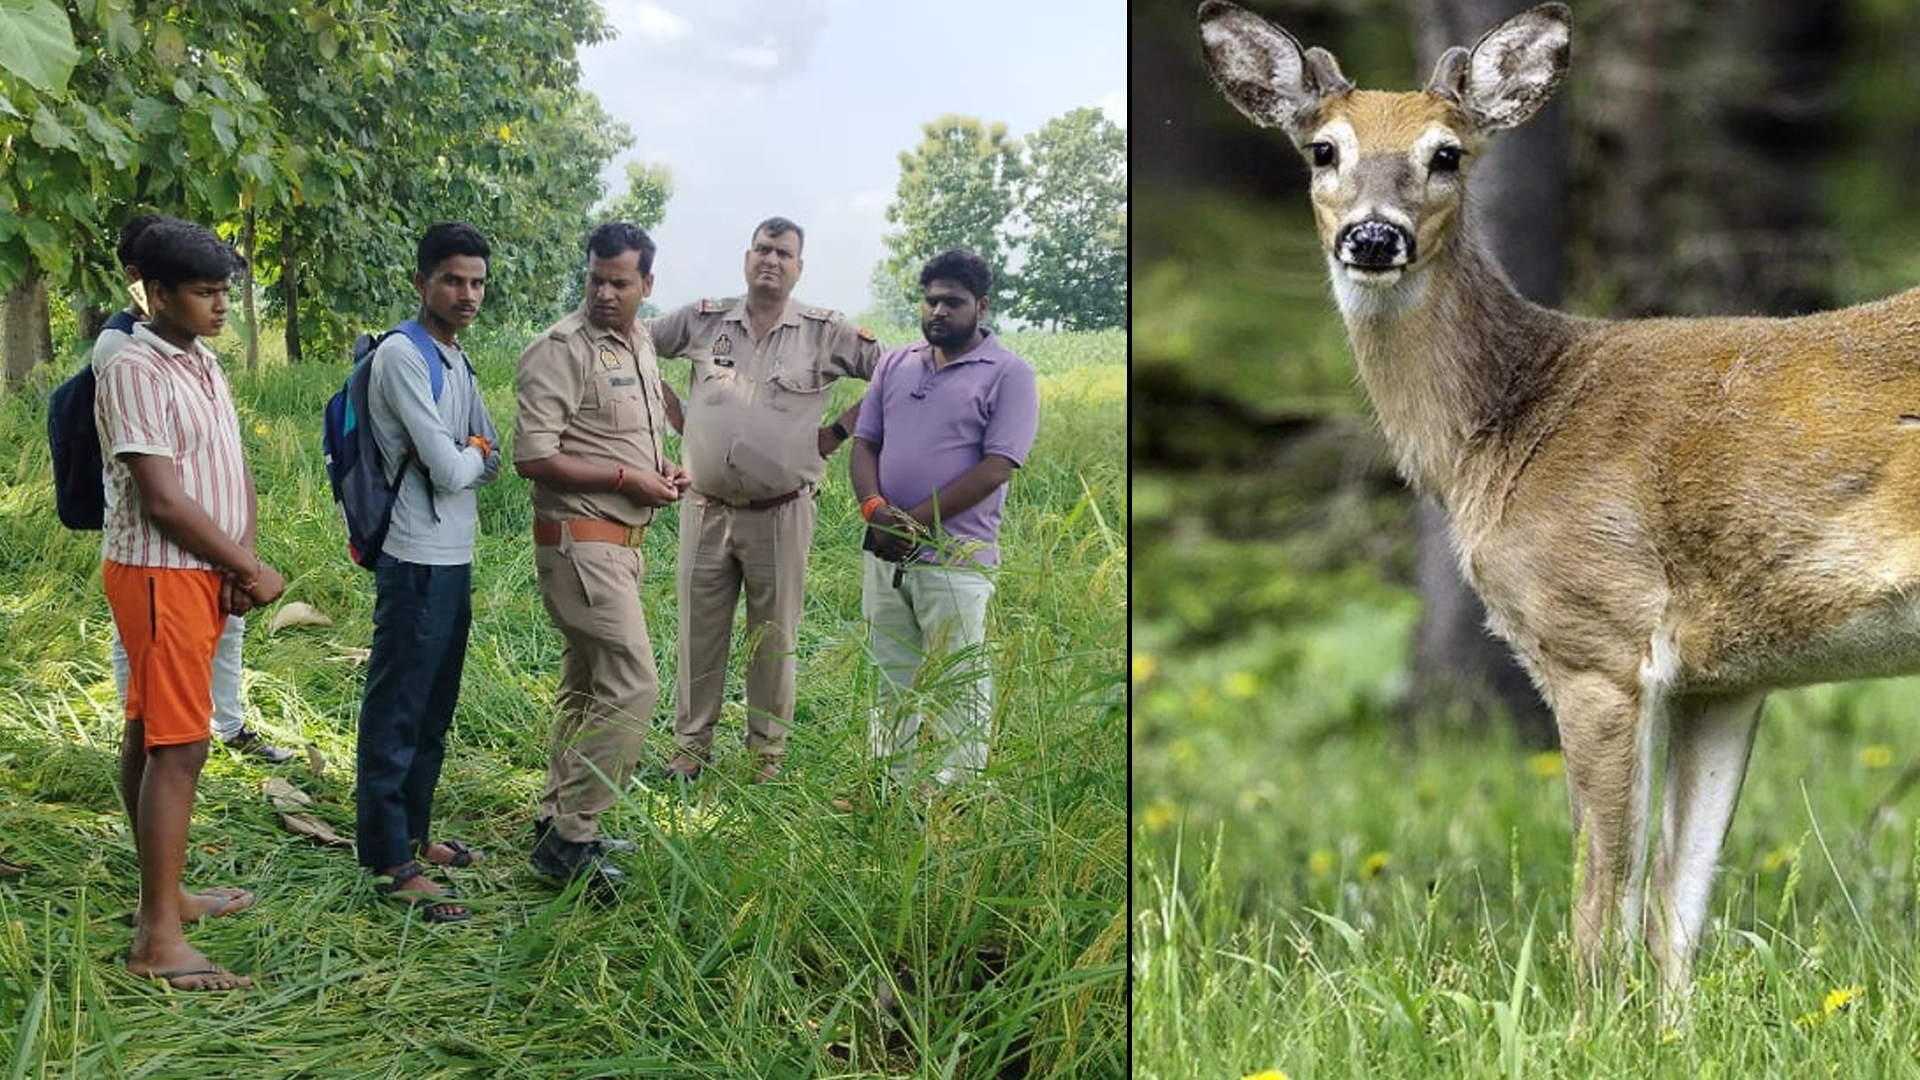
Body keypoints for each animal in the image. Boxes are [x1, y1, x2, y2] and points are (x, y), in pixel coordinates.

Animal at [1198, 0, 1920, 991]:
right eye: (1321, 150)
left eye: (1447, 153)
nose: (1375, 237)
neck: (1510, 425)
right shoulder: (1728, 675)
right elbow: (1676, 906)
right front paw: (1666, 1021)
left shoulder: (1598, 636)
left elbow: (1601, 891)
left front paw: (1589, 1014)